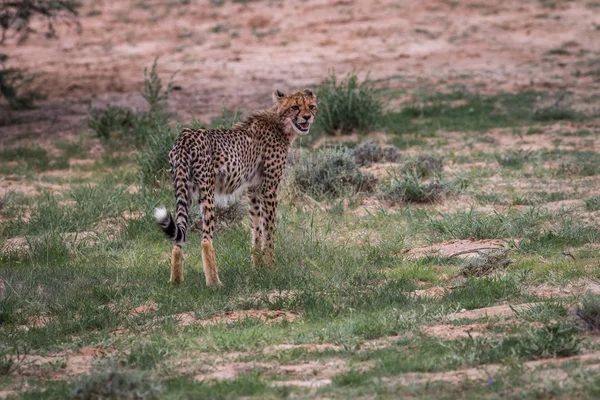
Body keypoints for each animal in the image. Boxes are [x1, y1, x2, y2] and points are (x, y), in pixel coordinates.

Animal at [154, 88, 318, 286]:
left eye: (311, 106)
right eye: (295, 107)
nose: (307, 117)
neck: (280, 123)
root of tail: (185, 137)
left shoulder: (254, 189)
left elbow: (256, 229)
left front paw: (257, 267)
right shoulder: (269, 189)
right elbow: (269, 230)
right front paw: (271, 266)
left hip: (184, 192)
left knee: (179, 237)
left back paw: (176, 282)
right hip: (207, 193)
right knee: (205, 240)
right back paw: (214, 283)